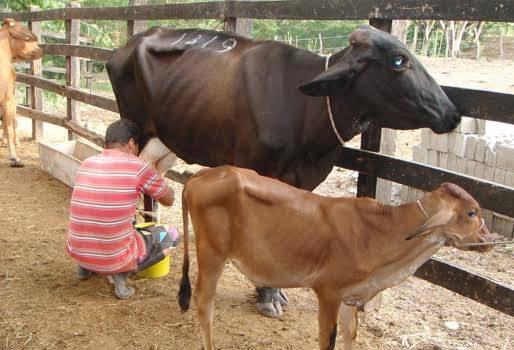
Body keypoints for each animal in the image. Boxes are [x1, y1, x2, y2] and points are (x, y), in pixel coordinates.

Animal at [177, 165, 492, 348]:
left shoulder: (350, 297)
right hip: (211, 254)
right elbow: (328, 339)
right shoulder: (328, 292)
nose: (489, 240)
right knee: (204, 303)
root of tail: (201, 175)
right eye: (472, 213)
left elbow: (351, 334)